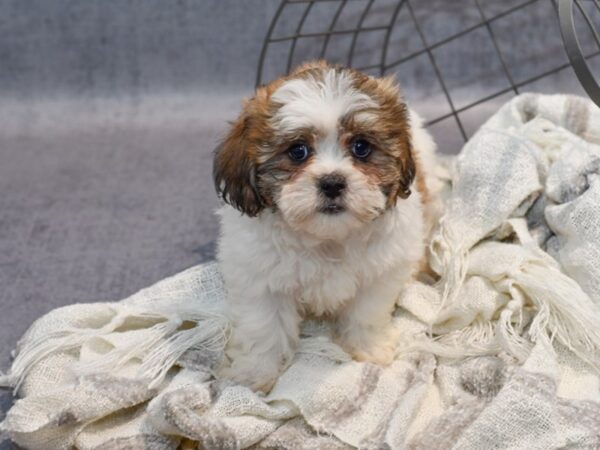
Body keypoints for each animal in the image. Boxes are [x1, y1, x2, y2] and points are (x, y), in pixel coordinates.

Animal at [216, 60, 436, 394]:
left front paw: (369, 349)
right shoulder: (259, 277)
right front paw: (255, 372)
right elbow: (264, 326)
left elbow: (366, 313)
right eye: (297, 151)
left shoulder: (379, 274)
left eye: (361, 147)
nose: (332, 182)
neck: (328, 237)